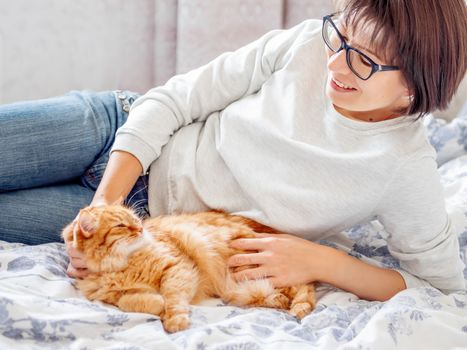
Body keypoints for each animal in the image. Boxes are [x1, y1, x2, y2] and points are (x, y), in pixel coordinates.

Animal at [62, 206, 316, 332]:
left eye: (135, 219)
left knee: (304, 285)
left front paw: (173, 319)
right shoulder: (111, 296)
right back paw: (278, 300)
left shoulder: (177, 267)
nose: (141, 228)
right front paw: (156, 304)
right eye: (120, 225)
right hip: (237, 288)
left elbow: (173, 299)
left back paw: (299, 307)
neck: (122, 267)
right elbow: (130, 301)